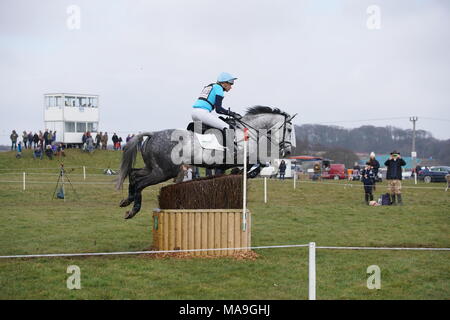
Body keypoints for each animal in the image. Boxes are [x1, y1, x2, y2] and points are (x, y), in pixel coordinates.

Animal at [117, 106, 296, 219]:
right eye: (289, 130)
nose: (287, 151)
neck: (248, 131)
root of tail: (153, 134)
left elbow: (257, 165)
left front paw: (239, 172)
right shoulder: (244, 157)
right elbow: (259, 164)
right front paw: (244, 173)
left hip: (154, 168)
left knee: (134, 174)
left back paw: (127, 200)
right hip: (164, 172)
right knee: (140, 182)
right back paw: (133, 210)